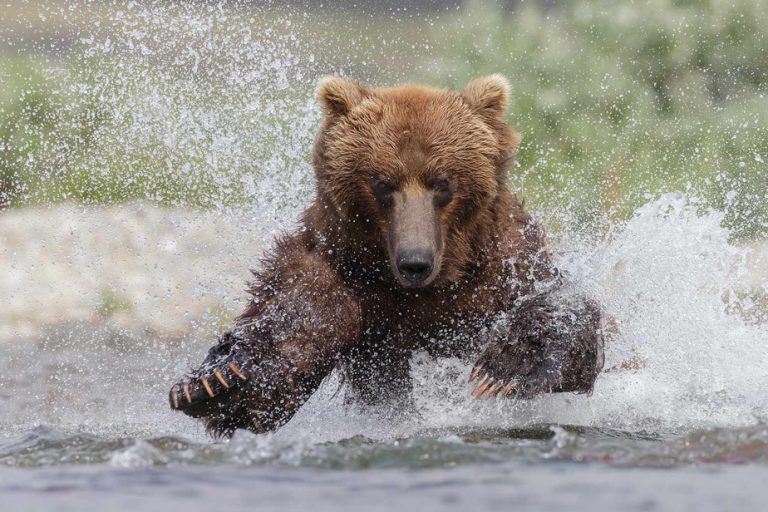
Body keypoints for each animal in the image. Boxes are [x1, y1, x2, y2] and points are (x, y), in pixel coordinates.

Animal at [170, 75, 608, 436]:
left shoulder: (502, 264)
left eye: (442, 182)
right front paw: (212, 382)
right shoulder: (340, 265)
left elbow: (561, 307)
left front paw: (503, 369)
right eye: (383, 184)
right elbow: (294, 321)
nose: (415, 262)